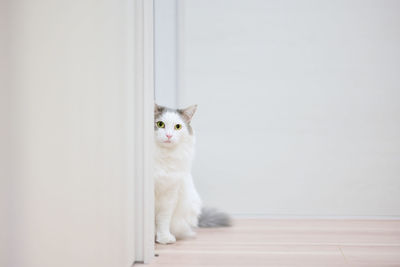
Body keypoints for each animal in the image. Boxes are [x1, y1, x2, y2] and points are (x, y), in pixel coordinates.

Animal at [155, 104, 233, 245]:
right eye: (160, 124)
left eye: (177, 127)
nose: (168, 135)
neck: (164, 158)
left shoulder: (169, 194)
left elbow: (163, 220)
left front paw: (164, 238)